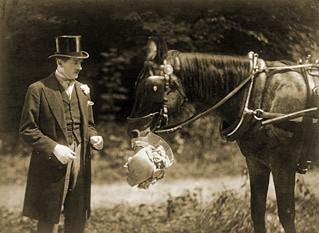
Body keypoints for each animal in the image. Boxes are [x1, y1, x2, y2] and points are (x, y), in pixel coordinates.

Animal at [127, 36, 318, 233]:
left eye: (153, 87)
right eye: (137, 84)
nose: (132, 130)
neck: (259, 94)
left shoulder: (283, 165)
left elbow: (286, 215)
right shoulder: (256, 163)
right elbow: (257, 212)